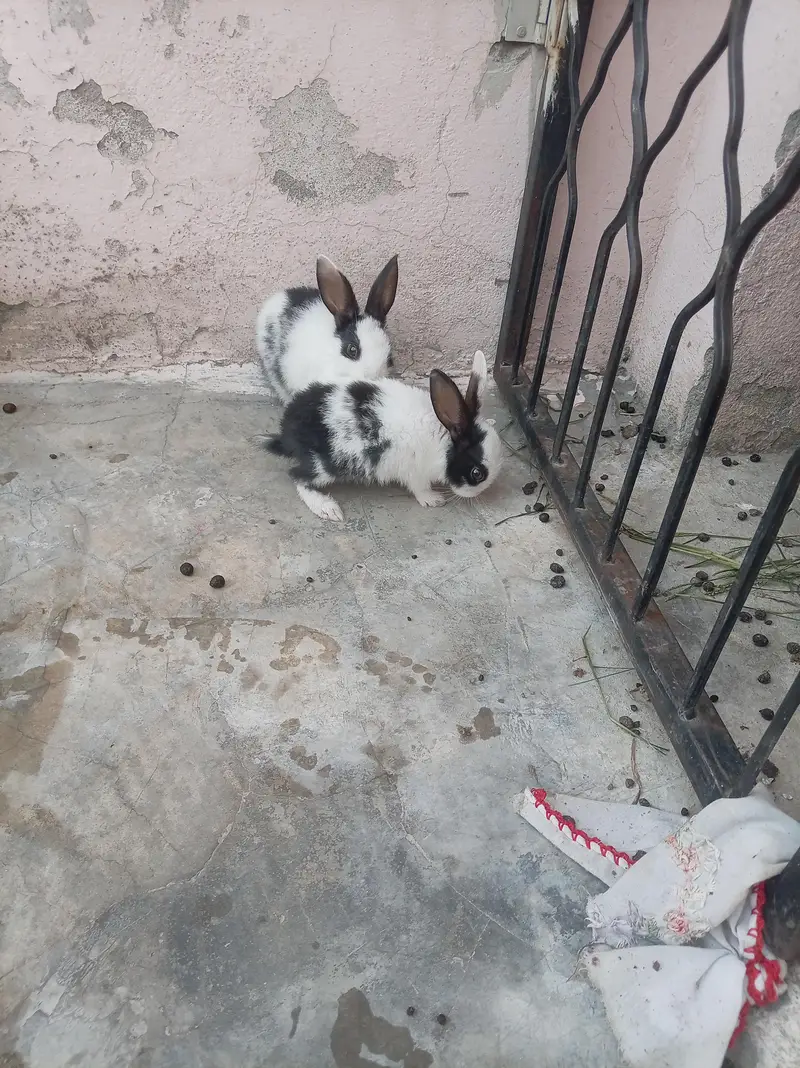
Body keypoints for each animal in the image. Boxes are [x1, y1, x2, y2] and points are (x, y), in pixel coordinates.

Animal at [266, 350, 503, 522]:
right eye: (477, 473)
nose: (480, 492)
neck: (444, 441)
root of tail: (288, 431)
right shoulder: (415, 472)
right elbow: (420, 489)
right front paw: (434, 500)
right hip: (324, 466)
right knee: (297, 477)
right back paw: (327, 508)